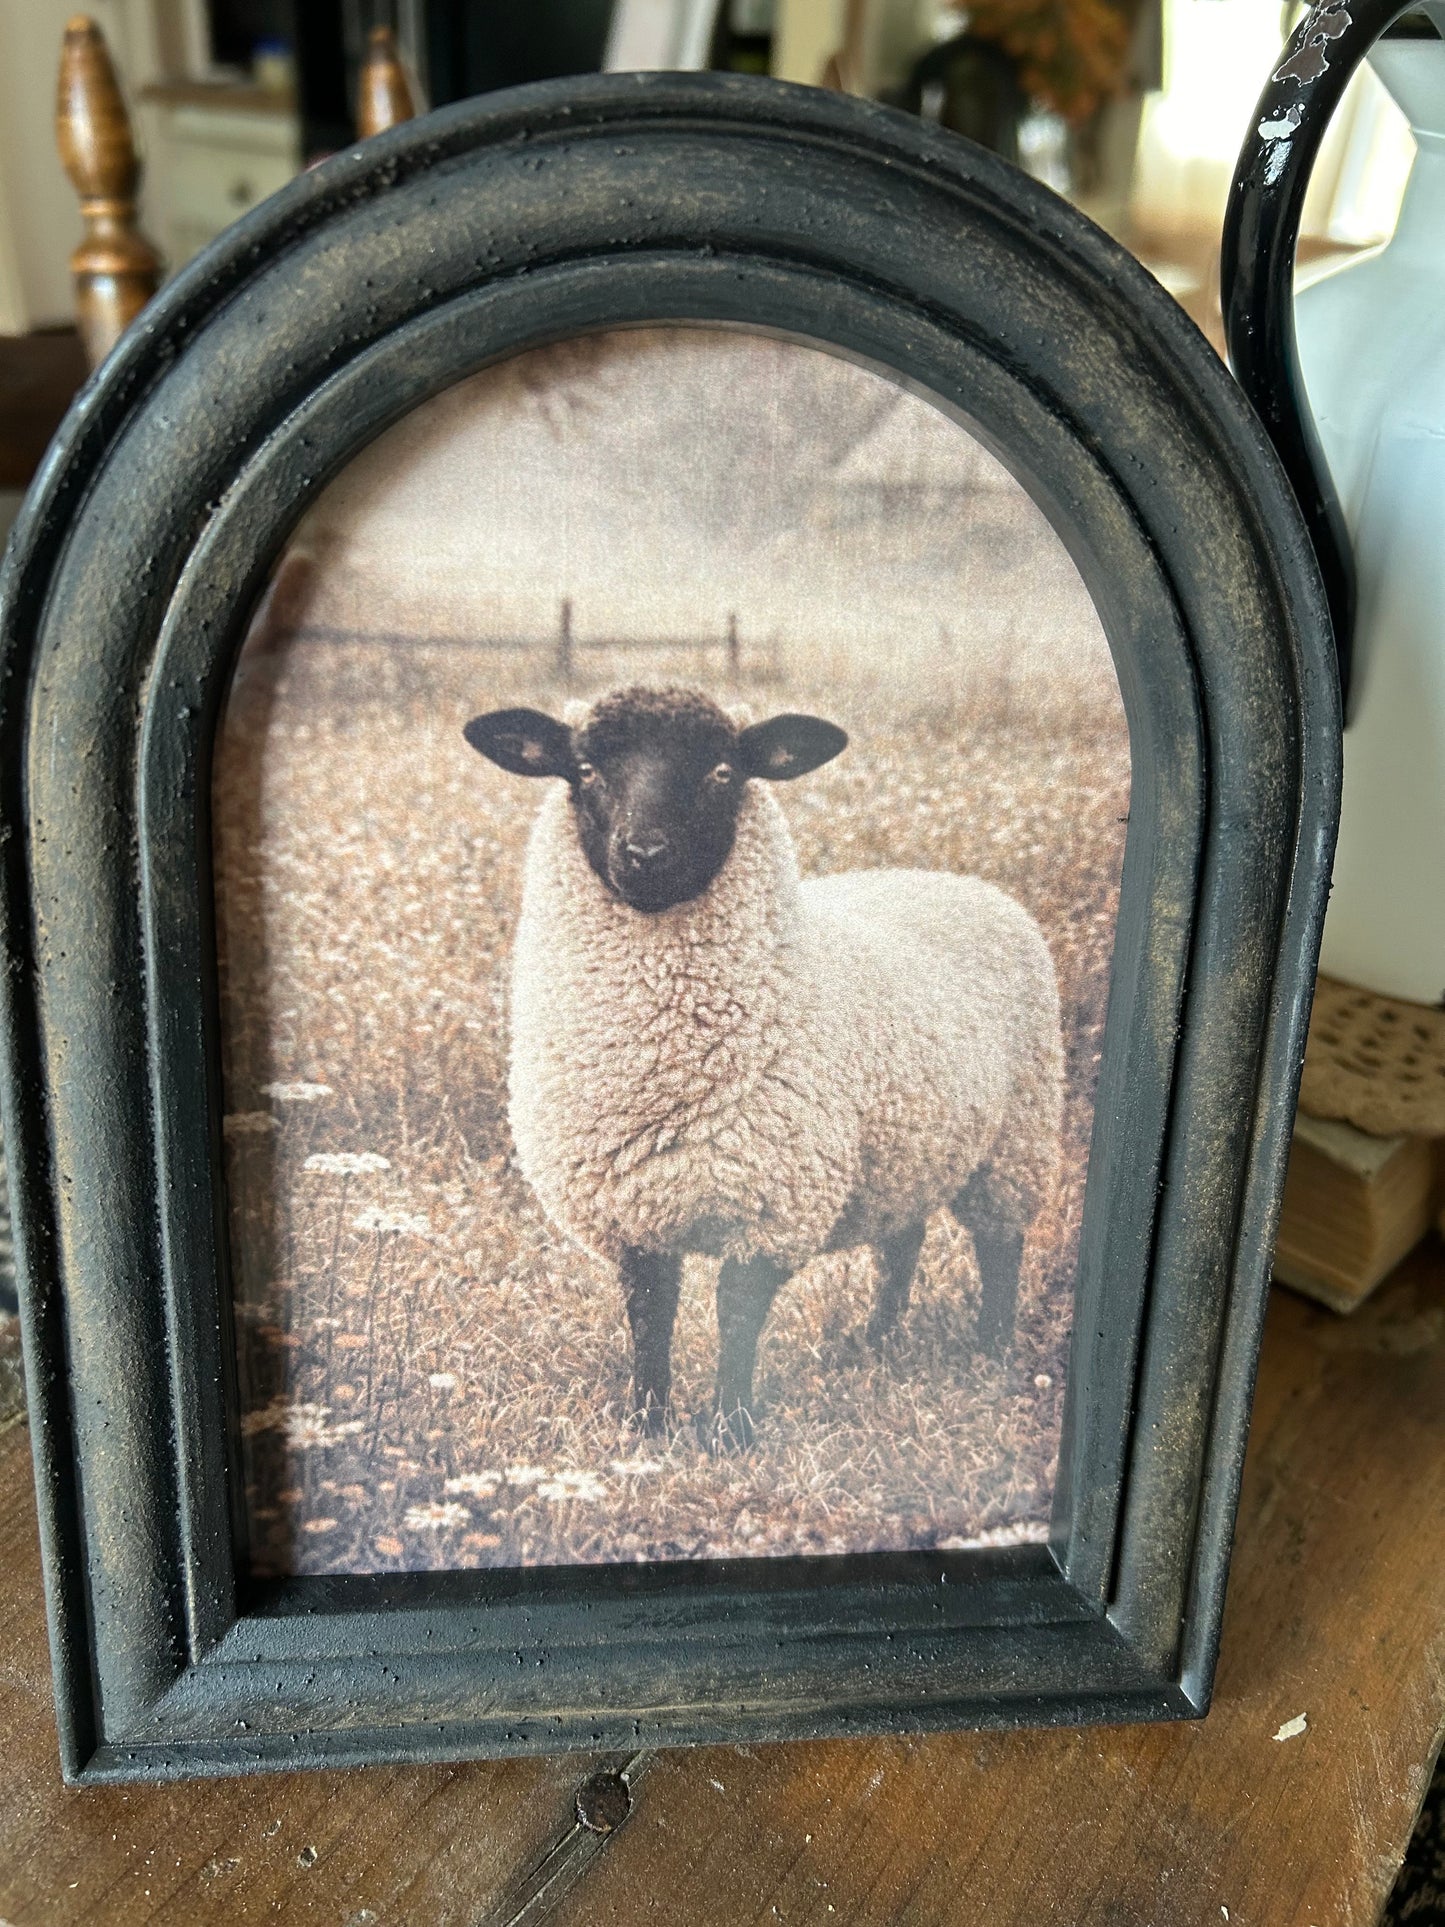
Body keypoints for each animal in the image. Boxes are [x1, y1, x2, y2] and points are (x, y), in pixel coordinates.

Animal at [464, 685, 1064, 1448]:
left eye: (723, 771)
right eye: (586, 769)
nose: (645, 854)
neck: (664, 1068)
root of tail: (949, 879)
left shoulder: (774, 1199)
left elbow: (736, 1313)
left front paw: (730, 1431)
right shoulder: (630, 1207)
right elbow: (649, 1313)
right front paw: (648, 1425)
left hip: (1018, 1134)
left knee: (999, 1244)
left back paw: (990, 1351)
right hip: (908, 1142)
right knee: (902, 1240)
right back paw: (877, 1340)